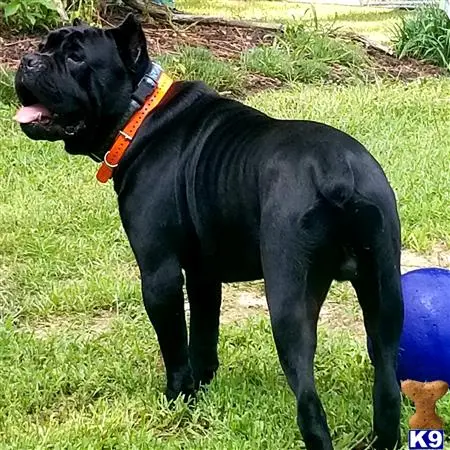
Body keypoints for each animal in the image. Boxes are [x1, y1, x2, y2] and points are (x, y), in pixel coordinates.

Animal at [14, 14, 404, 450]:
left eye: (76, 57)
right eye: (45, 46)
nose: (28, 60)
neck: (138, 109)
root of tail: (337, 172)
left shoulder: (160, 273)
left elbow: (174, 343)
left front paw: (177, 397)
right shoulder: (203, 274)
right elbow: (203, 333)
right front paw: (200, 388)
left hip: (290, 300)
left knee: (308, 399)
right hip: (384, 294)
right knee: (386, 380)